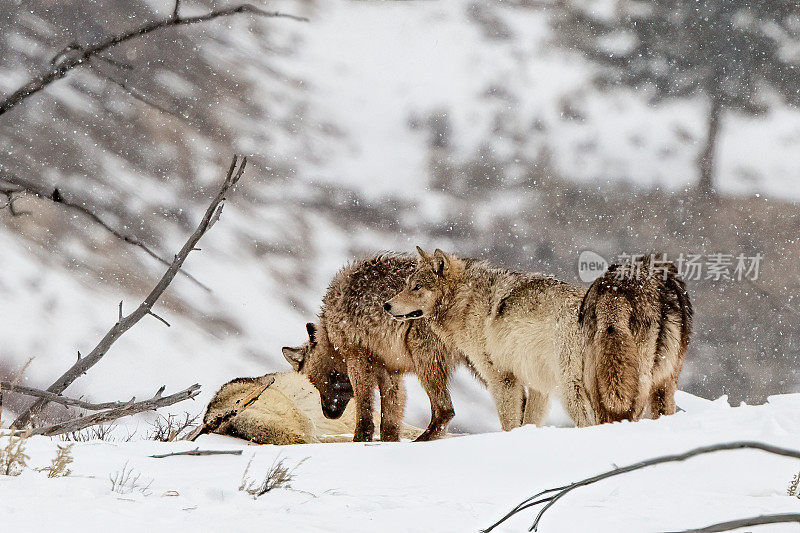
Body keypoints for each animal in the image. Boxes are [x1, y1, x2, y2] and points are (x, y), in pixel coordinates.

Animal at [282, 254, 460, 440]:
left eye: (316, 382)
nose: (328, 413)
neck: (330, 333)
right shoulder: (390, 370)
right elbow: (389, 423)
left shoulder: (357, 359)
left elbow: (364, 409)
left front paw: (361, 439)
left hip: (424, 360)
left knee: (445, 410)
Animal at [384, 246, 596, 428]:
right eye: (407, 285)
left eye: (417, 287)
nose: (386, 305)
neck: (465, 299)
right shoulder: (537, 385)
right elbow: (529, 421)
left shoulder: (501, 378)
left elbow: (509, 424)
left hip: (570, 390)